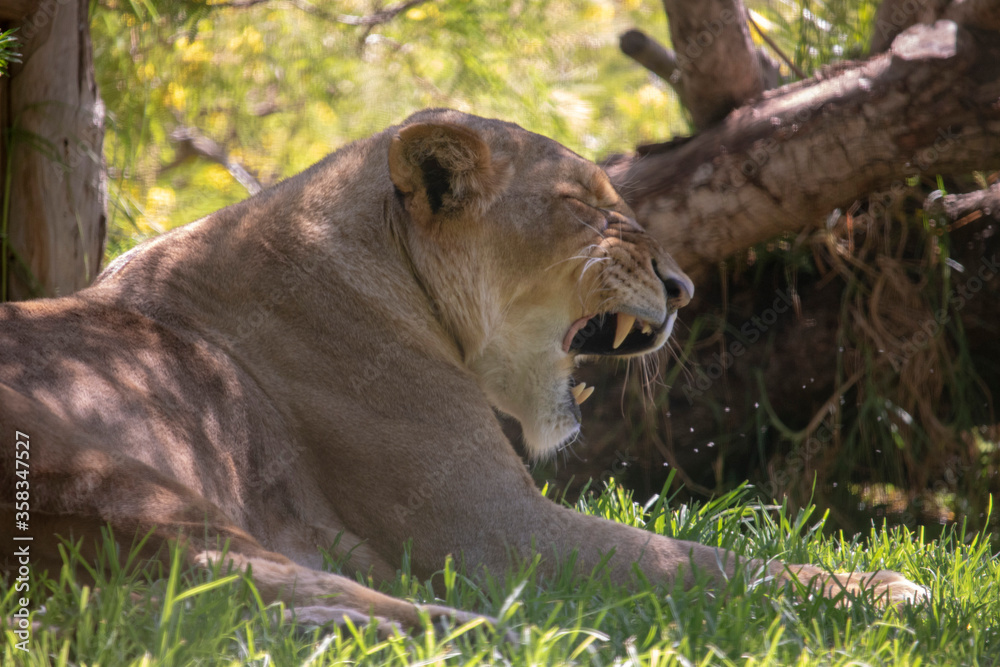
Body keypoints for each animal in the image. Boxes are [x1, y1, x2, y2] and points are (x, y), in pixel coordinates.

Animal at [0, 109, 926, 636]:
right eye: (585, 209)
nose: (683, 286)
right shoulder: (490, 529)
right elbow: (697, 560)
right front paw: (871, 588)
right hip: (130, 481)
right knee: (251, 583)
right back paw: (529, 635)